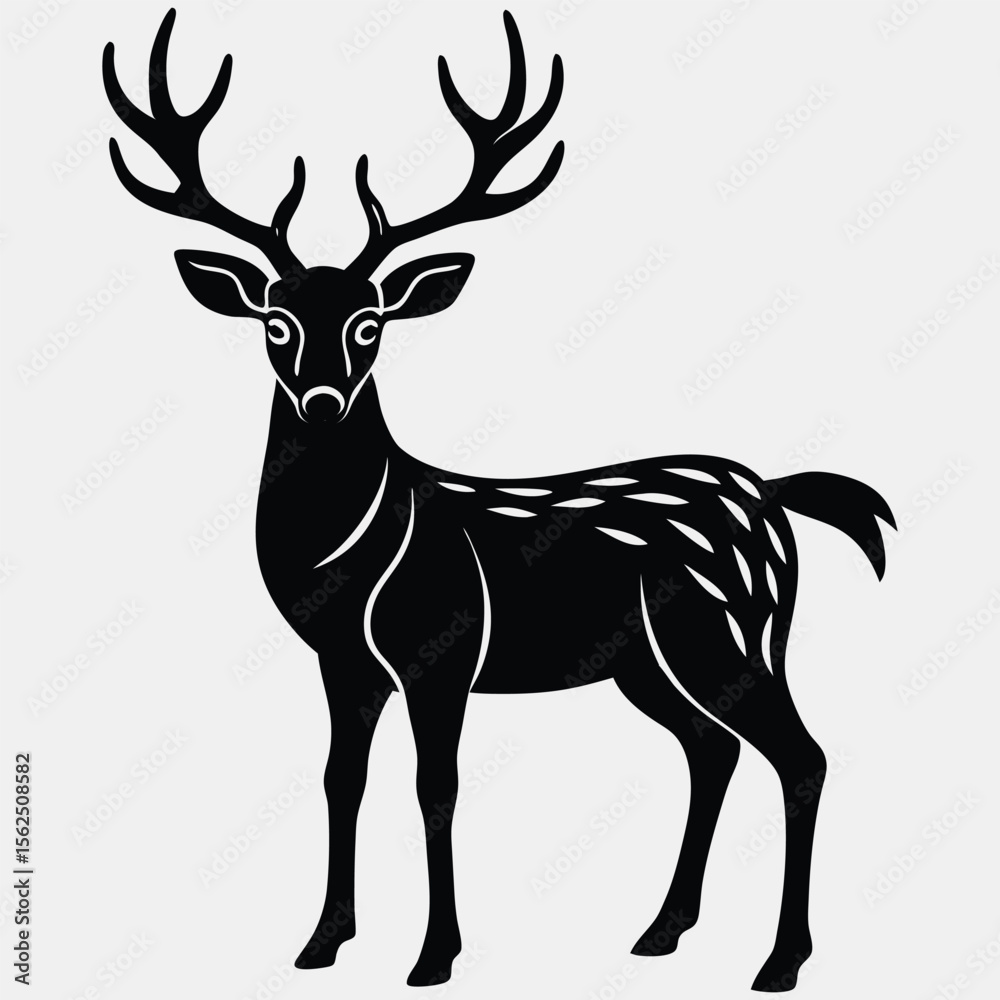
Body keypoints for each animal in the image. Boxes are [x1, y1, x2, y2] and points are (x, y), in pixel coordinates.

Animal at [103, 8, 894, 992]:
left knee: (801, 754)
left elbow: (435, 786)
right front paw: (322, 942)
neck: (349, 559)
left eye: (370, 323)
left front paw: (434, 955)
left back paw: (780, 960)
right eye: (276, 323)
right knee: (711, 749)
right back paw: (661, 930)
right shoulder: (341, 661)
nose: (322, 402)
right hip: (647, 663)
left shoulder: (441, 649)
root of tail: (774, 498)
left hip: (732, 632)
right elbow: (339, 780)